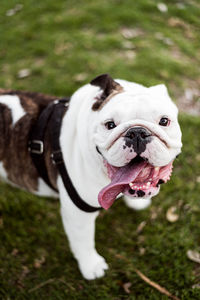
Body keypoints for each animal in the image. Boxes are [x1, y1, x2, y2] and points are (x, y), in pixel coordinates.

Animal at [0, 74, 181, 278]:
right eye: (110, 125)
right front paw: (91, 266)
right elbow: (83, 240)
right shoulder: (77, 213)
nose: (137, 132)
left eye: (164, 121)